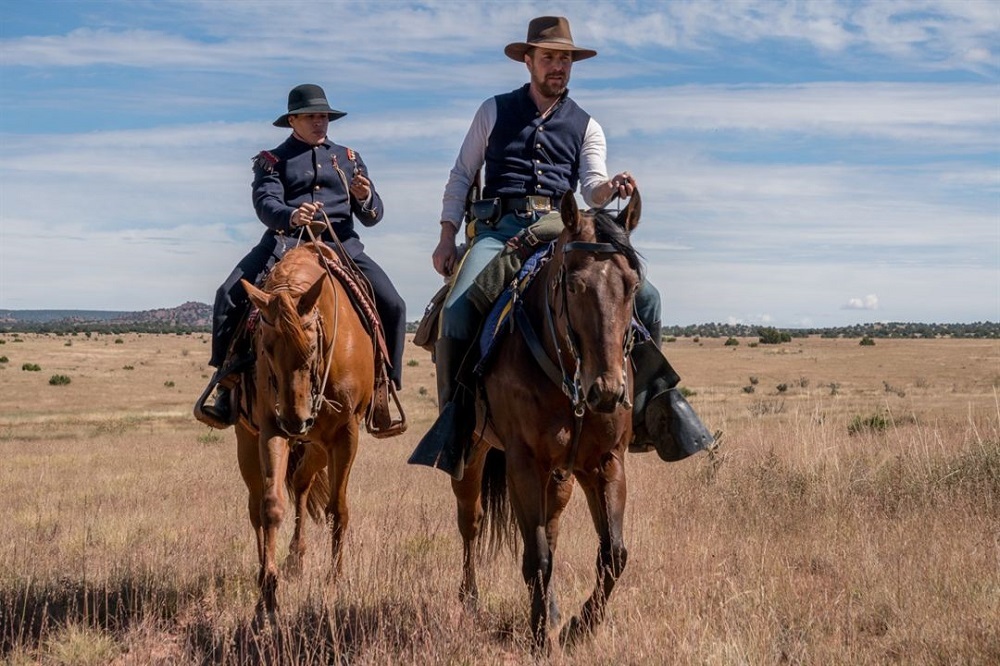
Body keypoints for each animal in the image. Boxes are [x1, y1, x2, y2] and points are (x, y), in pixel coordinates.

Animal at [236, 241, 374, 616]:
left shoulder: (345, 434)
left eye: (311, 346)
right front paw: (267, 594)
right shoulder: (271, 429)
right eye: (265, 348)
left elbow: (338, 509)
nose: (296, 421)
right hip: (250, 440)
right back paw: (273, 568)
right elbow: (271, 506)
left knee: (301, 482)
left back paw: (297, 558)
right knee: (256, 504)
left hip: (318, 444)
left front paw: (335, 582)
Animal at [454, 187, 640, 648]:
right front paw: (541, 636)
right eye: (573, 284)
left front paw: (578, 626)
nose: (607, 391)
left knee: (551, 529)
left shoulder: (605, 462)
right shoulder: (523, 463)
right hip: (474, 453)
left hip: (560, 476)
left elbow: (613, 554)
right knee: (471, 522)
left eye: (632, 286)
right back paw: (469, 601)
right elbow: (536, 555)